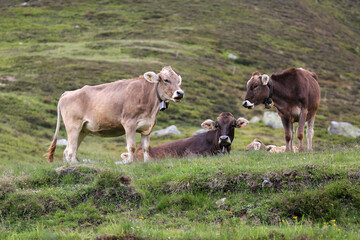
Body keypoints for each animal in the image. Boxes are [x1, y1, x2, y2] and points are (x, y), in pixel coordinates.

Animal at [47, 65, 184, 163]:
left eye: (178, 81)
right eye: (166, 80)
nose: (180, 93)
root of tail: (68, 93)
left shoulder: (147, 127)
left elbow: (146, 148)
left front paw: (146, 163)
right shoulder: (129, 123)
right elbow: (131, 147)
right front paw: (131, 164)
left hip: (82, 130)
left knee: (69, 150)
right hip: (73, 126)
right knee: (70, 151)